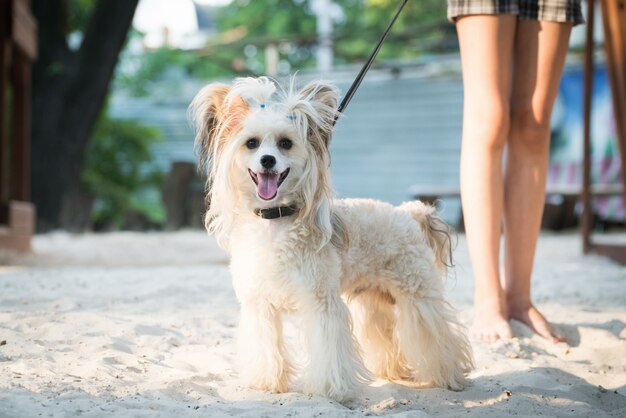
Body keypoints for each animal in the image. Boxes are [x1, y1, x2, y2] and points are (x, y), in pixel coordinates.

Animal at [190, 76, 472, 402]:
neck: (276, 221)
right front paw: (266, 382)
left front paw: (330, 390)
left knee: (436, 335)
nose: (267, 160)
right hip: (374, 304)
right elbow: (266, 348)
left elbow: (328, 350)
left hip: (418, 298)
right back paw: (394, 371)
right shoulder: (260, 307)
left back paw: (449, 376)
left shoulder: (321, 304)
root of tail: (410, 213)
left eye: (285, 143)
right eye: (252, 143)